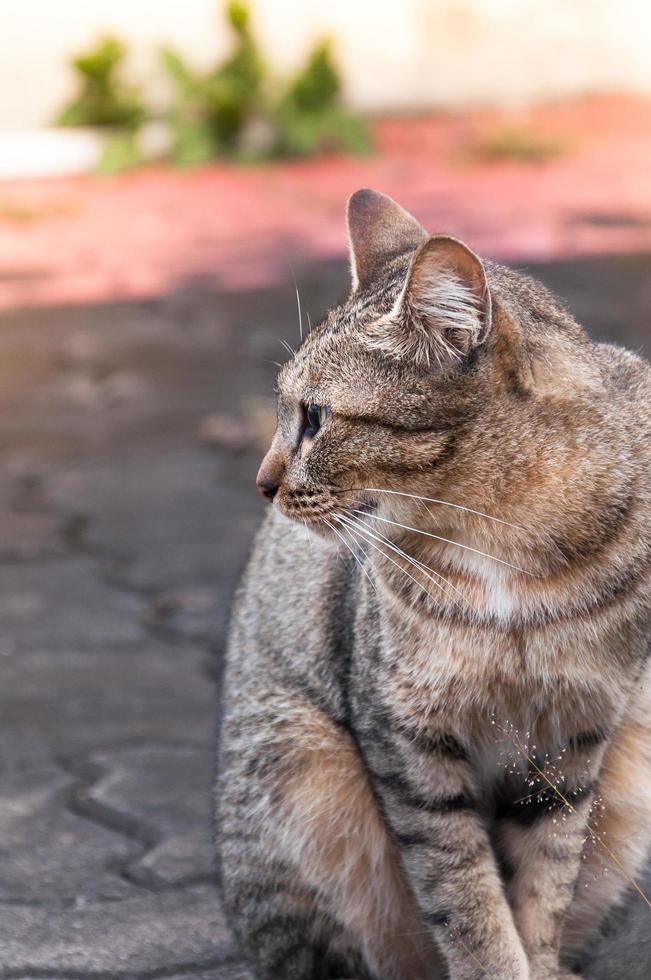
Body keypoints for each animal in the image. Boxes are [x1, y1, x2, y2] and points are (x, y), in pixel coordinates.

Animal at [218, 188, 651, 976]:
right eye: (283, 408)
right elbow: (466, 897)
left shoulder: (572, 742)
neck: (502, 536)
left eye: (315, 417)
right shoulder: (410, 746)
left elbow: (542, 882)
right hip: (297, 765)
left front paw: (537, 961)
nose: (262, 483)